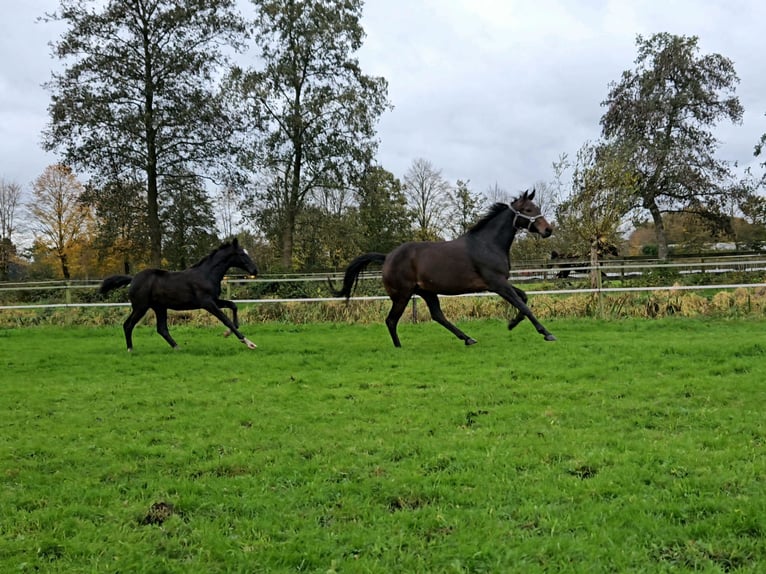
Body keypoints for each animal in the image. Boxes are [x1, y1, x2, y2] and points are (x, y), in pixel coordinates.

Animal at [100, 238, 258, 352]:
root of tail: (133, 279)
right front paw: (248, 342)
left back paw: (177, 347)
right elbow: (226, 319)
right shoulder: (207, 303)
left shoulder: (214, 300)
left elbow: (233, 306)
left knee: (161, 329)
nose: (255, 270)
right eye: (242, 254)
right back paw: (130, 349)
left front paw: (228, 333)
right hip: (141, 307)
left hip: (159, 308)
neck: (207, 274)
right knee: (128, 325)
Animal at [330, 191, 560, 348]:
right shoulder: (497, 283)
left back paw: (468, 338)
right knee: (391, 320)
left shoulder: (500, 283)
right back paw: (399, 347)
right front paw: (547, 333)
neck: (487, 244)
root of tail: (387, 257)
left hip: (426, 292)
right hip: (403, 295)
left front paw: (512, 324)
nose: (548, 230)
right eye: (528, 210)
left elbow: (524, 299)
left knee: (437, 315)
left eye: (536, 207)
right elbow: (523, 305)